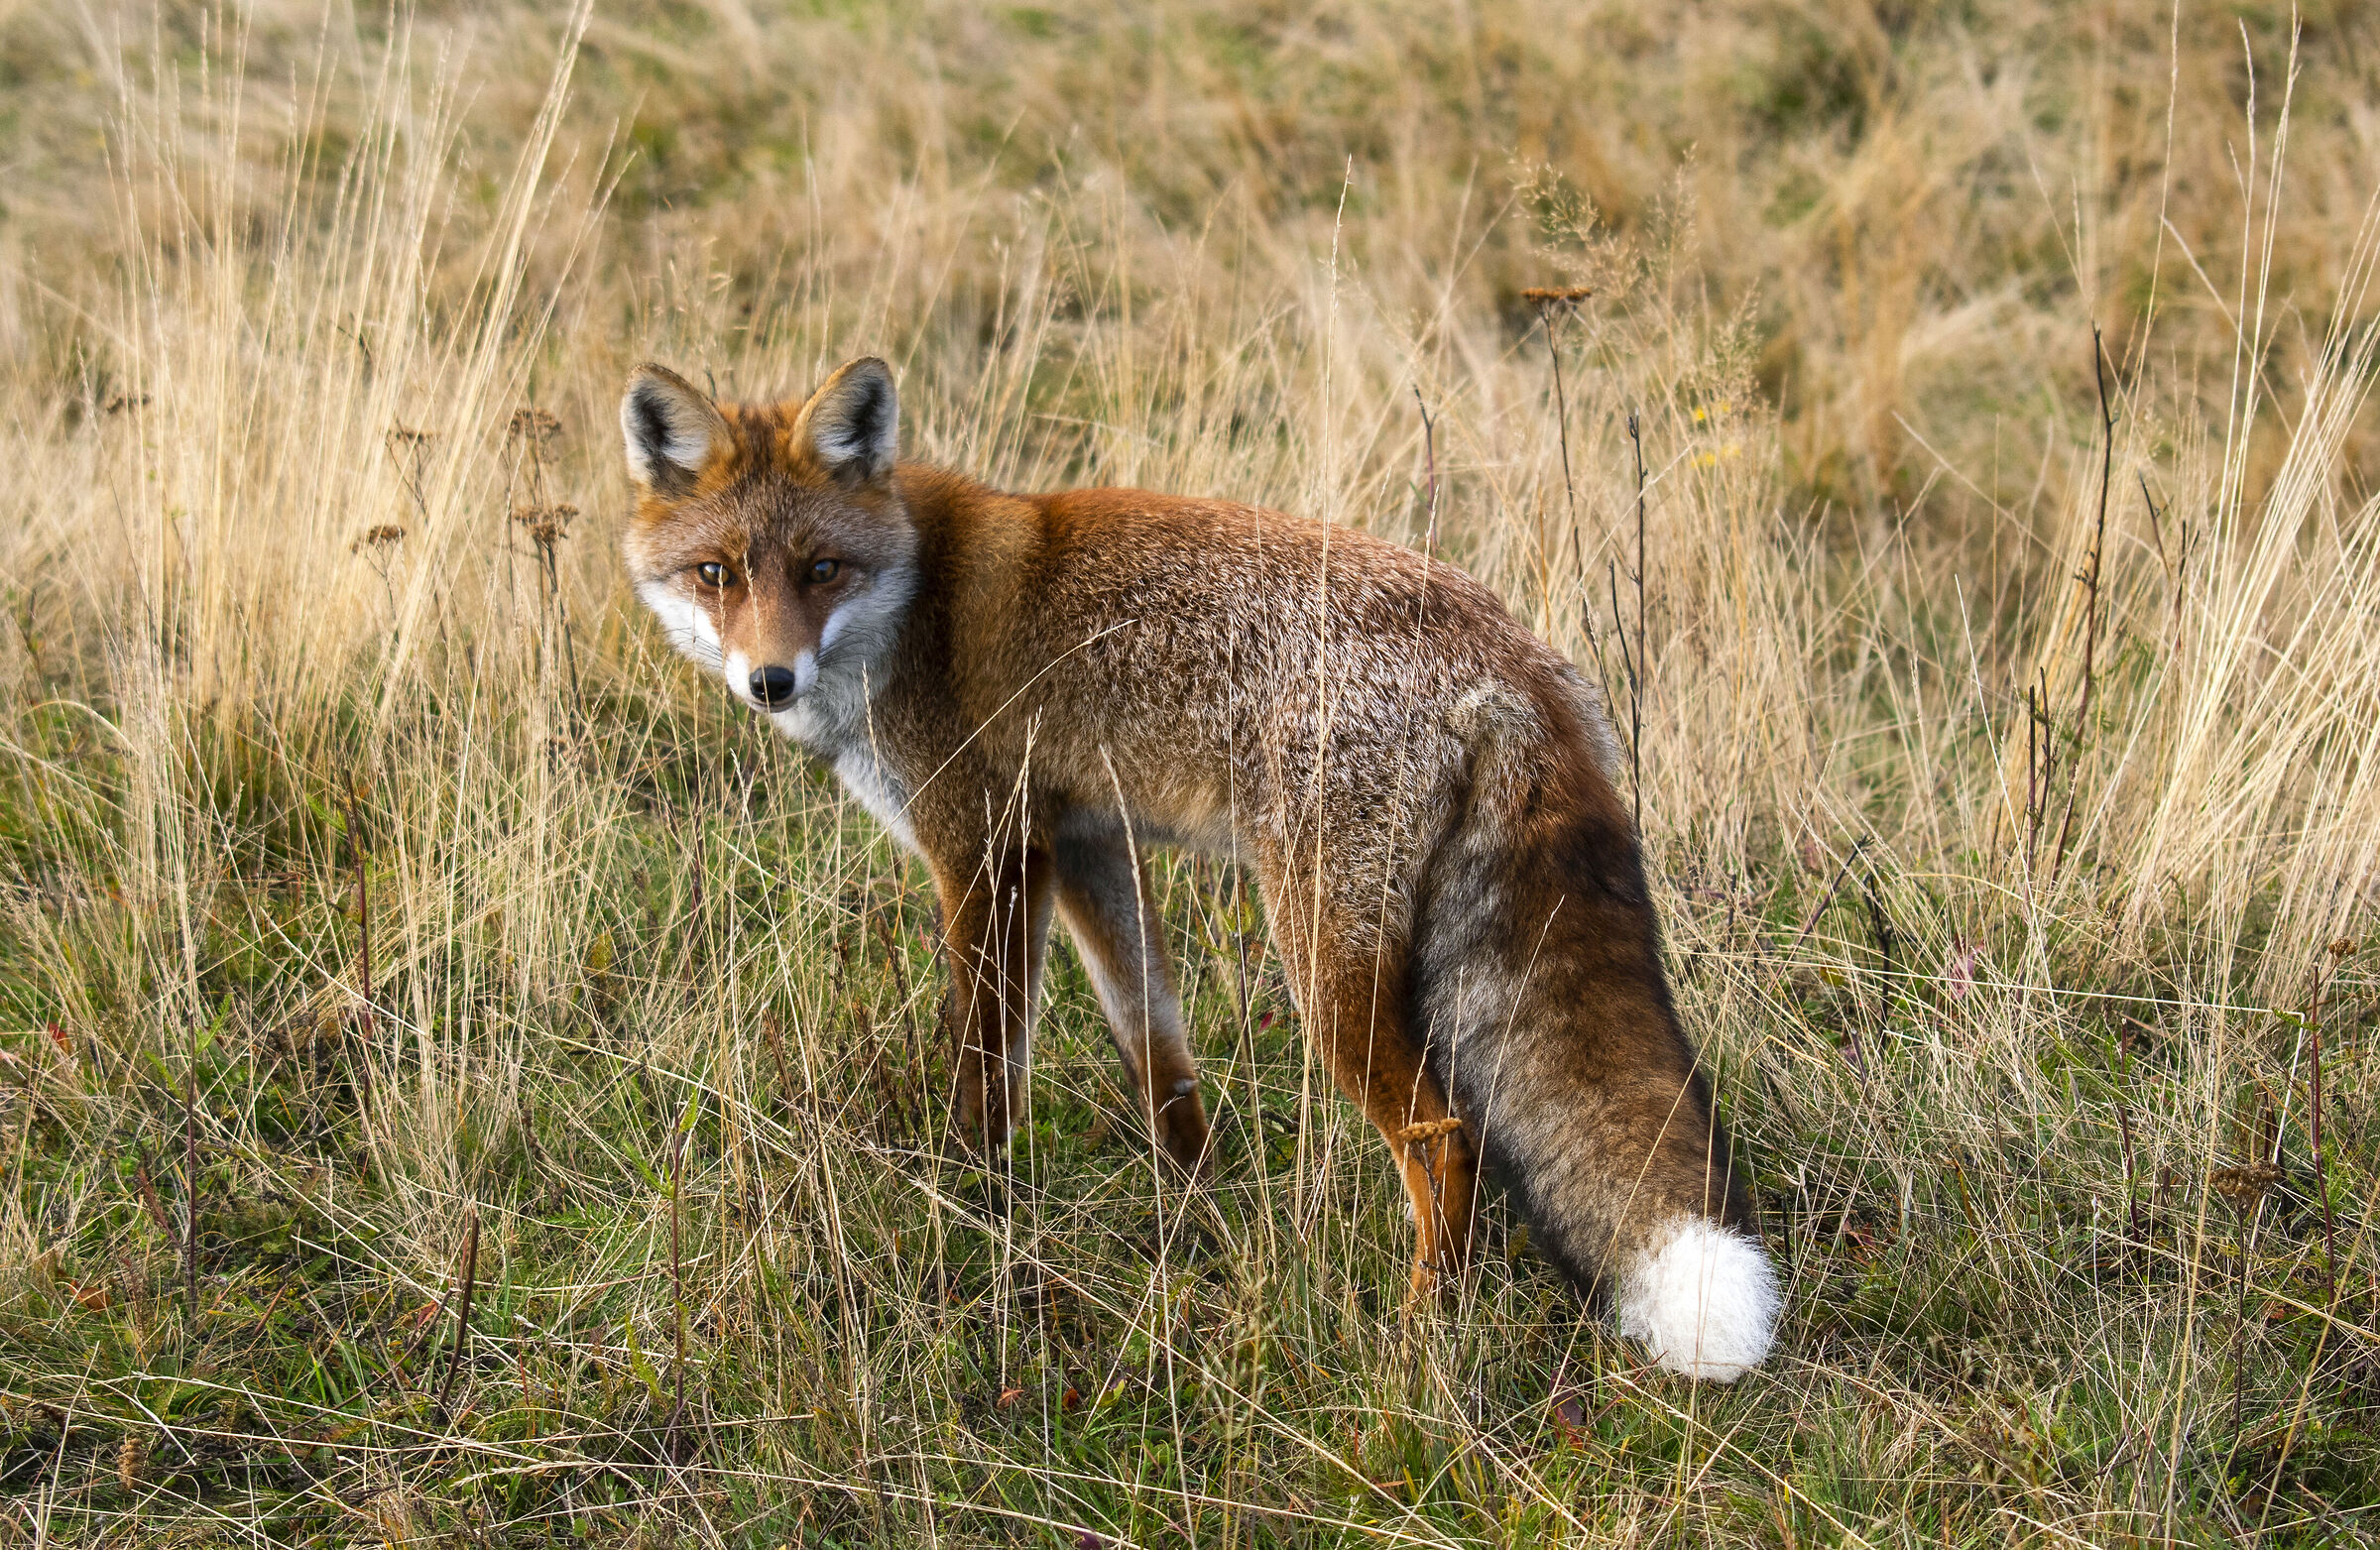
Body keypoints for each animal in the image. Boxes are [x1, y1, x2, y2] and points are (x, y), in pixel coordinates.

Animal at [618, 355, 1780, 1380]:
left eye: (822, 570)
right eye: (716, 574)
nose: (768, 681)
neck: (913, 606)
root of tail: (1514, 659)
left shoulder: (983, 851)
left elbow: (987, 1069)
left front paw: (978, 1207)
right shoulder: (1087, 846)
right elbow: (1156, 1051)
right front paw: (1196, 1203)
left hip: (1324, 963)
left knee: (1445, 1140)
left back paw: (1421, 1335)